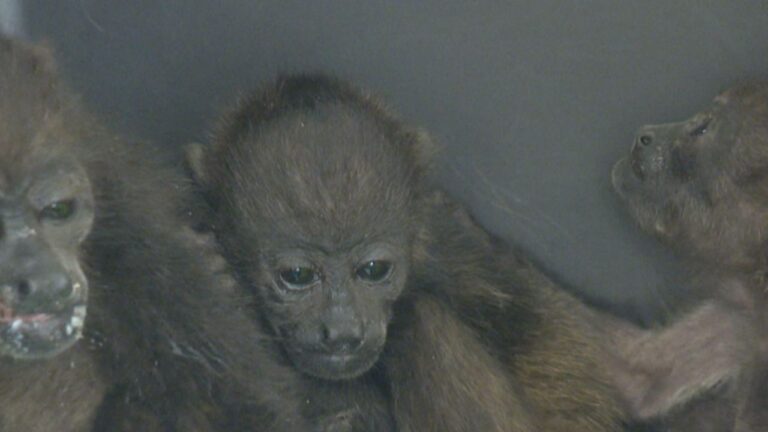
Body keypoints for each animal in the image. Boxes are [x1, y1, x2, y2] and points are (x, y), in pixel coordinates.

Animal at [186, 73, 628, 432]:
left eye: (373, 269)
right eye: (297, 276)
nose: (343, 332)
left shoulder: (444, 239)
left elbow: (551, 345)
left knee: (423, 323)